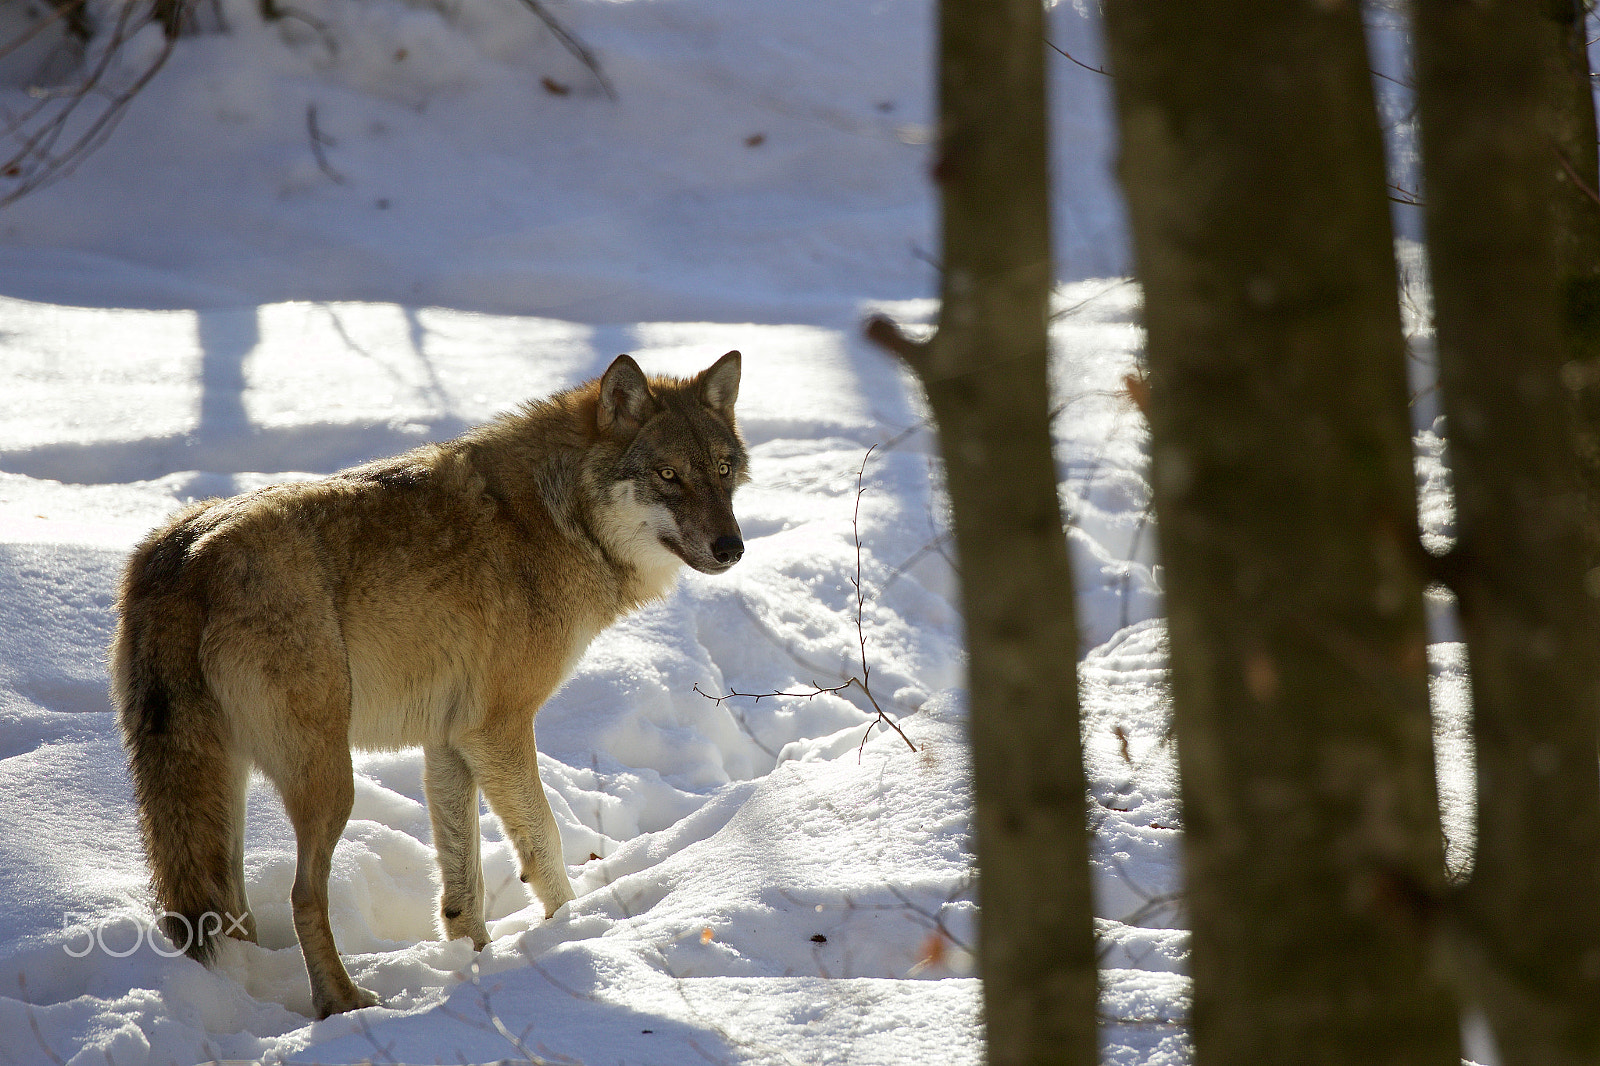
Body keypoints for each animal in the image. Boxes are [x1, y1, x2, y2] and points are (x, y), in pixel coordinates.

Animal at [112, 348, 748, 1011]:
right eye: (669, 475)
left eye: (723, 470)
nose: (732, 547)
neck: (558, 516)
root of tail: (184, 555)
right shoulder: (497, 730)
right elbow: (543, 842)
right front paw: (575, 929)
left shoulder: (449, 741)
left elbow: (462, 879)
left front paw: (477, 961)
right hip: (331, 782)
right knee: (302, 895)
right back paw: (344, 1003)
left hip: (226, 787)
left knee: (234, 910)